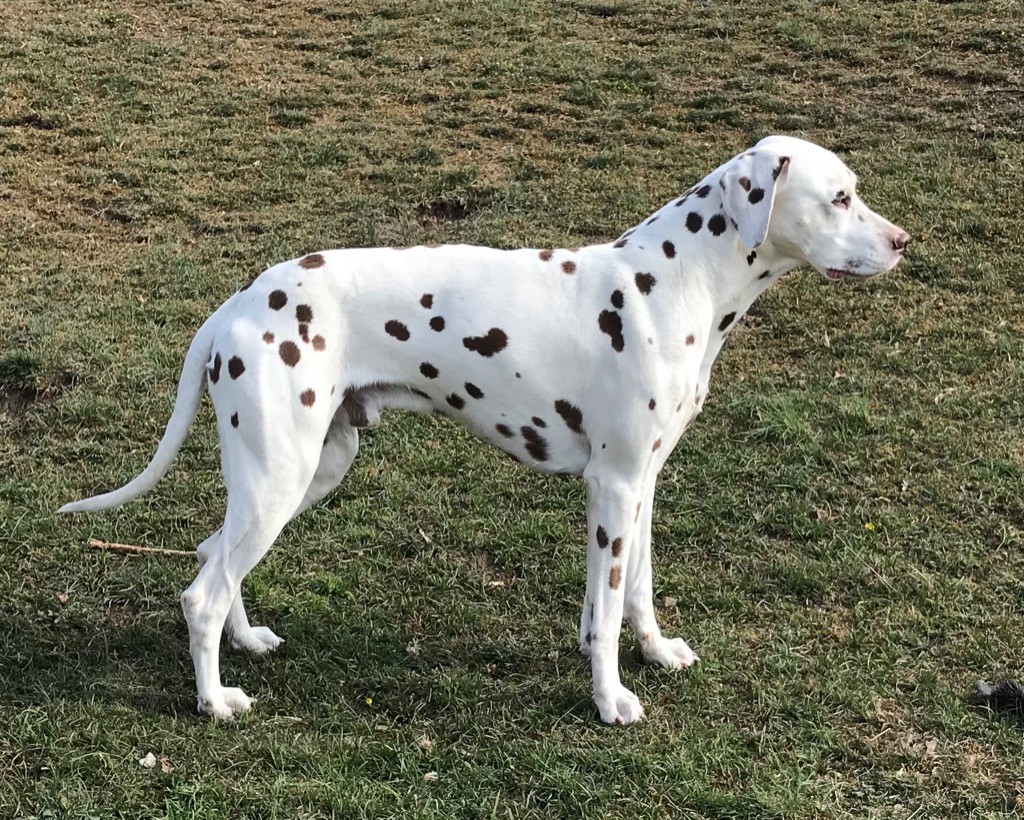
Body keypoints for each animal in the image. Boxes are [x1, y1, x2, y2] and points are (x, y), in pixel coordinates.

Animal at [61, 134, 913, 724]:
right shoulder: (614, 487)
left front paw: (655, 652)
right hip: (279, 480)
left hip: (306, 473)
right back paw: (216, 702)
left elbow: (632, 593)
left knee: (213, 557)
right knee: (202, 592)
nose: (904, 242)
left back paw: (246, 642)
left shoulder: (641, 486)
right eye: (840, 198)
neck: (676, 277)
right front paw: (611, 700)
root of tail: (236, 304)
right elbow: (609, 611)